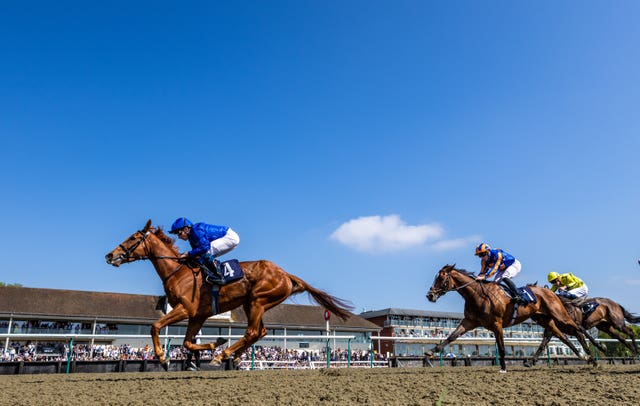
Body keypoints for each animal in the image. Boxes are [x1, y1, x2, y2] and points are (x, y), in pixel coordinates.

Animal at [105, 220, 356, 370]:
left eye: (132, 238)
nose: (110, 255)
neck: (179, 272)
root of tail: (285, 273)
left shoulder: (185, 309)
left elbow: (155, 326)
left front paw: (162, 357)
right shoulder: (198, 315)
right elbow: (187, 342)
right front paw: (214, 342)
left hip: (258, 300)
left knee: (253, 331)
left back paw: (223, 354)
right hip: (253, 304)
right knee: (260, 332)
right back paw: (231, 355)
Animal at [424, 264, 596, 372]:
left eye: (441, 278)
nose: (430, 295)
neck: (477, 295)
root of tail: (551, 291)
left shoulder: (497, 324)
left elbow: (501, 347)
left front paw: (503, 368)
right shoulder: (469, 322)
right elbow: (451, 337)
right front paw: (429, 354)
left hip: (560, 315)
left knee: (578, 330)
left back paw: (593, 354)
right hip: (544, 320)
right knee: (563, 337)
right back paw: (585, 357)